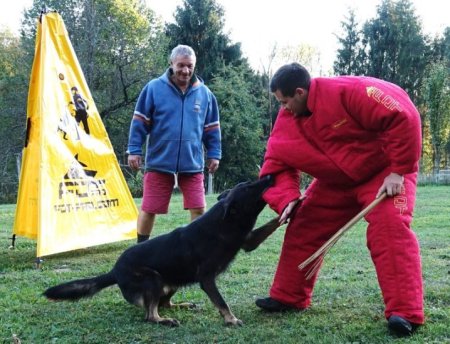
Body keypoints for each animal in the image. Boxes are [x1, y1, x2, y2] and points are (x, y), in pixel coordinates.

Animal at [44, 176, 280, 326]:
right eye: (249, 188)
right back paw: (164, 320)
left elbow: (271, 224)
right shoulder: (207, 279)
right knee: (151, 314)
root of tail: (114, 271)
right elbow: (222, 301)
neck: (224, 223)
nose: (270, 176)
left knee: (164, 303)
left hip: (172, 280)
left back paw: (181, 306)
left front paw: (288, 209)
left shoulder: (249, 241)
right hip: (154, 279)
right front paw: (230, 319)